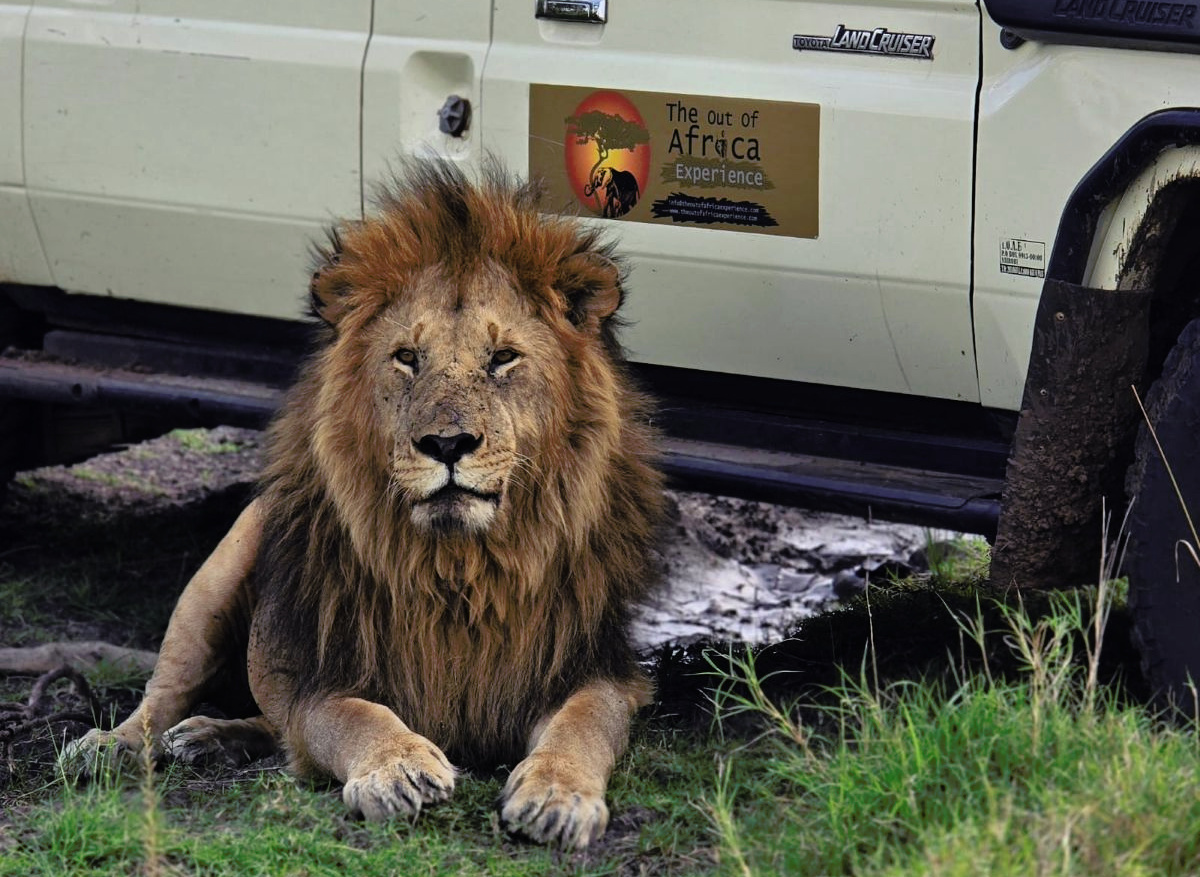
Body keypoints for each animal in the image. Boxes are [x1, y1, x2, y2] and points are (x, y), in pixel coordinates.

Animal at [62, 159, 666, 850]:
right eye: (406, 358)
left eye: (502, 358)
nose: (447, 444)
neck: (462, 573)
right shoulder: (323, 680)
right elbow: (357, 718)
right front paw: (399, 769)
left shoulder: (592, 666)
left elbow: (584, 723)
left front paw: (557, 795)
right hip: (213, 584)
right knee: (164, 694)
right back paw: (114, 746)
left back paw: (212, 738)